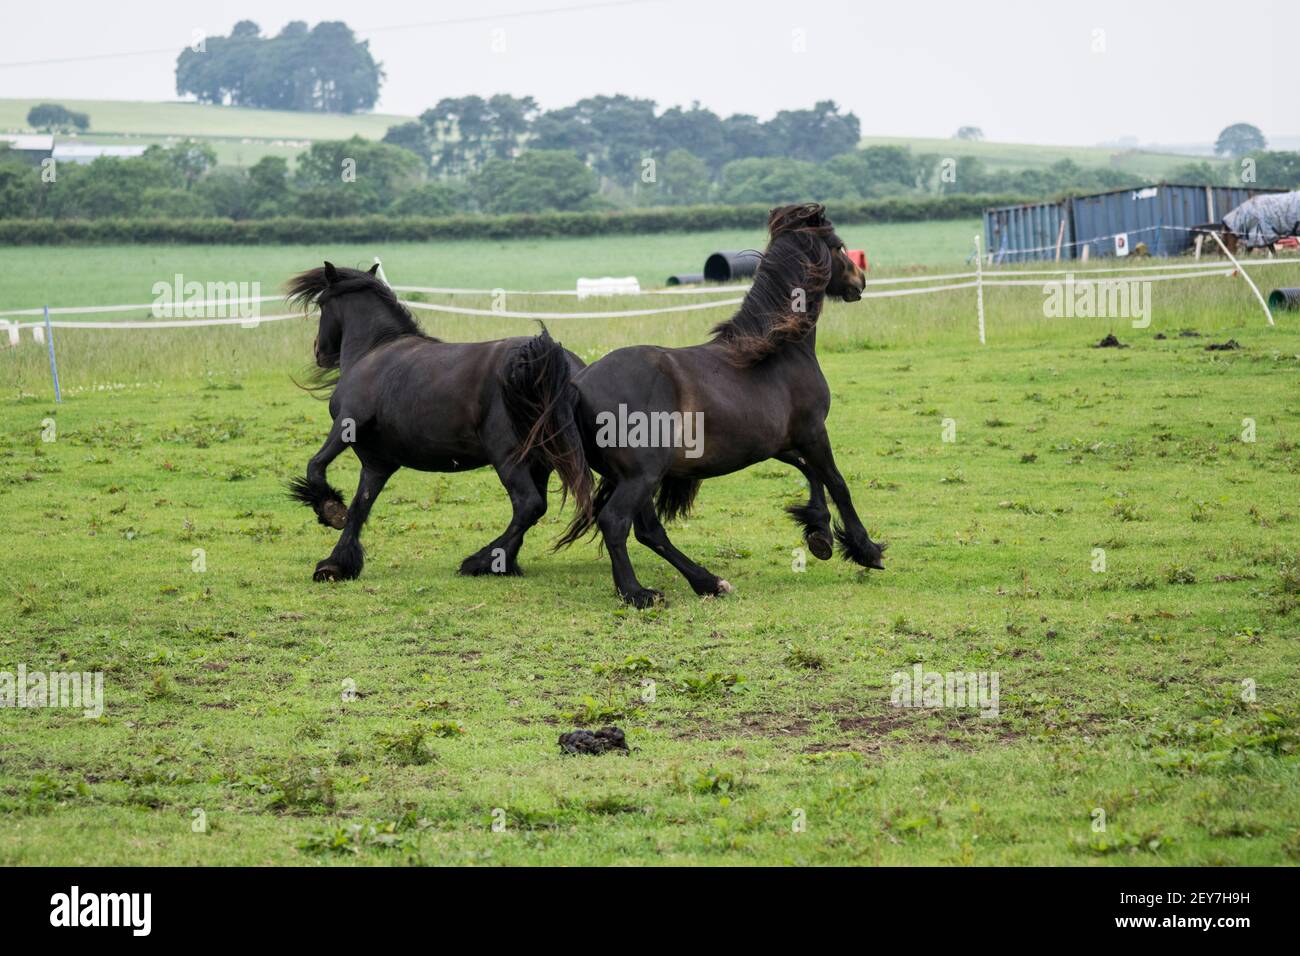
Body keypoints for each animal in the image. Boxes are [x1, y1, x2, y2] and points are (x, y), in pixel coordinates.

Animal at [285, 263, 588, 582]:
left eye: (321, 304)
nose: (319, 351)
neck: (374, 351)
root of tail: (550, 361)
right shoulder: (377, 464)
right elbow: (360, 506)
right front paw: (337, 564)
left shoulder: (347, 423)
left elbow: (316, 466)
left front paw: (330, 511)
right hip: (541, 460)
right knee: (534, 507)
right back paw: (503, 562)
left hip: (509, 457)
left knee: (528, 504)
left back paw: (480, 561)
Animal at [502, 202, 884, 608]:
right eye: (840, 246)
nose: (860, 281)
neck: (777, 352)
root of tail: (577, 384)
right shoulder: (812, 432)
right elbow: (837, 482)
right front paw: (866, 549)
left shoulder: (776, 443)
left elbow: (809, 473)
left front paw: (819, 533)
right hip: (641, 476)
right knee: (616, 522)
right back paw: (638, 593)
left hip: (632, 476)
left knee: (649, 531)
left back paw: (708, 582)